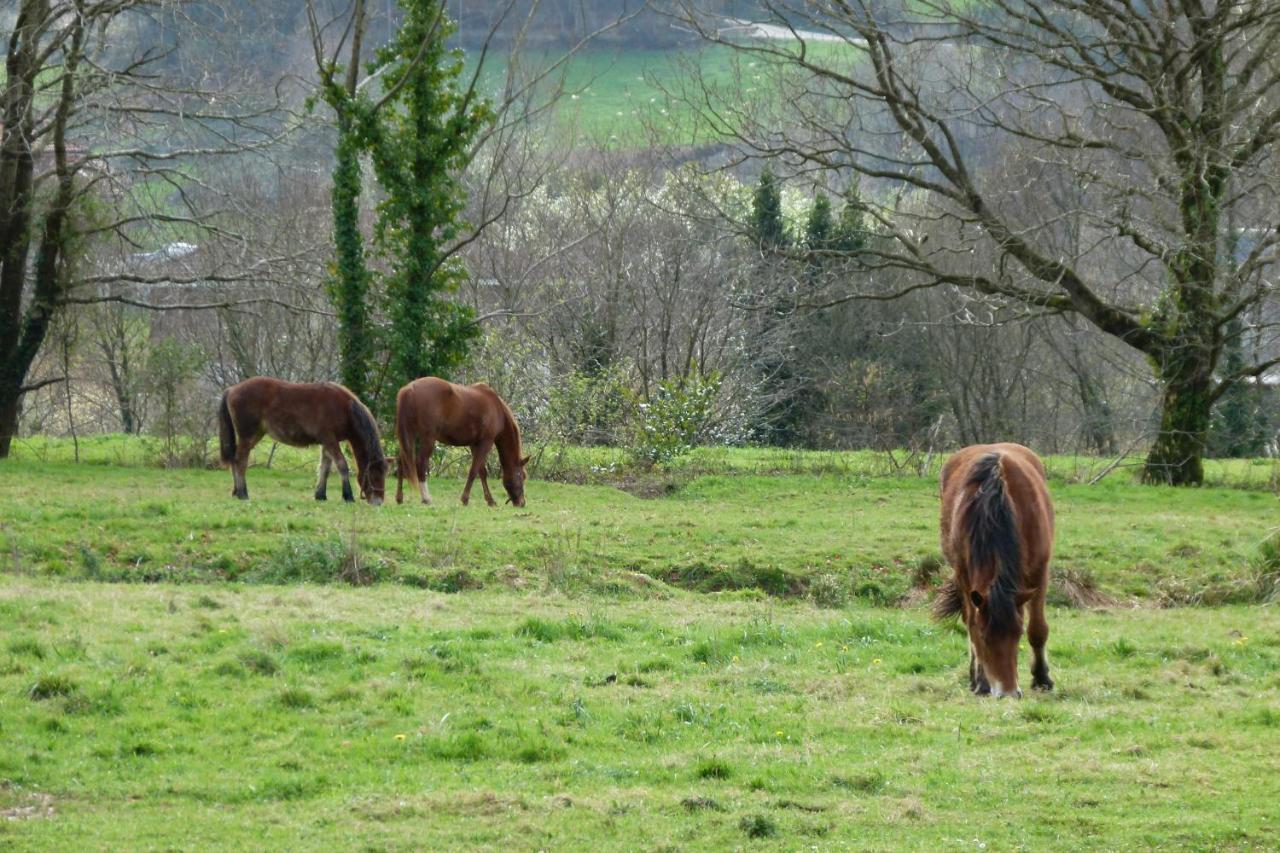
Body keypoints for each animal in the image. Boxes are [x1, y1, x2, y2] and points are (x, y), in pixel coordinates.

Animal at [217, 376, 386, 502]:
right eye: (374, 476)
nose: (378, 501)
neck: (345, 408)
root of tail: (232, 389)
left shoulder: (327, 443)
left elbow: (325, 468)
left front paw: (320, 495)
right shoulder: (330, 441)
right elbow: (342, 465)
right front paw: (348, 496)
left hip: (255, 435)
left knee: (235, 460)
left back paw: (236, 491)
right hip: (248, 436)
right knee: (240, 461)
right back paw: (243, 493)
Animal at [391, 373, 527, 504]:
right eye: (522, 476)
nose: (522, 503)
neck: (497, 408)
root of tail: (409, 389)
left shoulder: (475, 444)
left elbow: (482, 472)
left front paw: (490, 500)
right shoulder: (485, 443)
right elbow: (473, 471)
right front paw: (465, 499)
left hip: (409, 434)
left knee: (402, 461)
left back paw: (399, 497)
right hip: (427, 438)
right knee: (420, 462)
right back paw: (426, 498)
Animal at [936, 440, 1054, 696]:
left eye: (1018, 633)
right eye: (984, 636)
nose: (1007, 692)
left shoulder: (1040, 572)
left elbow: (1038, 630)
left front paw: (1042, 679)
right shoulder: (965, 577)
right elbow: (971, 624)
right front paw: (981, 681)